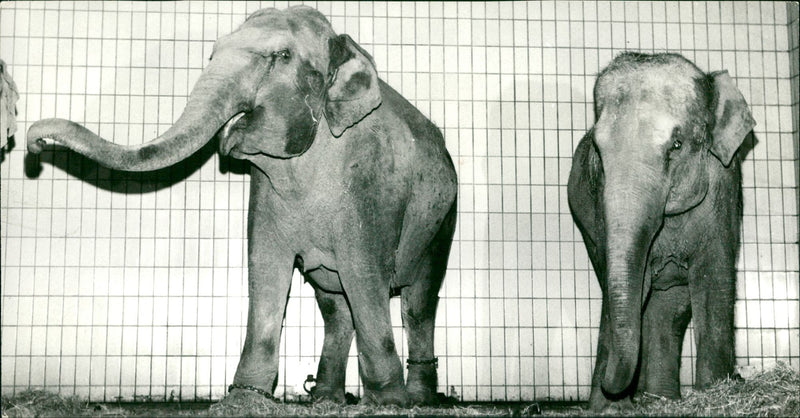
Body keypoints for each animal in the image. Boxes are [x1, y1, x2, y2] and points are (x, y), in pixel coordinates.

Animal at [26, 6, 457, 406]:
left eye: (281, 56)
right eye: (212, 52)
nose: (35, 143)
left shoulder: (369, 184)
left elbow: (364, 274)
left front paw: (389, 403)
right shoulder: (265, 189)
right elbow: (265, 268)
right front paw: (245, 398)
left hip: (442, 220)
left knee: (417, 303)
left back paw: (417, 399)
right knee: (335, 307)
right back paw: (326, 400)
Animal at [567, 52, 755, 410]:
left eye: (677, 145)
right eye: (598, 151)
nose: (613, 390)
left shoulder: (722, 183)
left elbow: (714, 279)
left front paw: (714, 393)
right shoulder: (599, 206)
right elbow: (628, 288)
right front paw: (609, 409)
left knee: (671, 309)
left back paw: (661, 399)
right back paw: (656, 399)